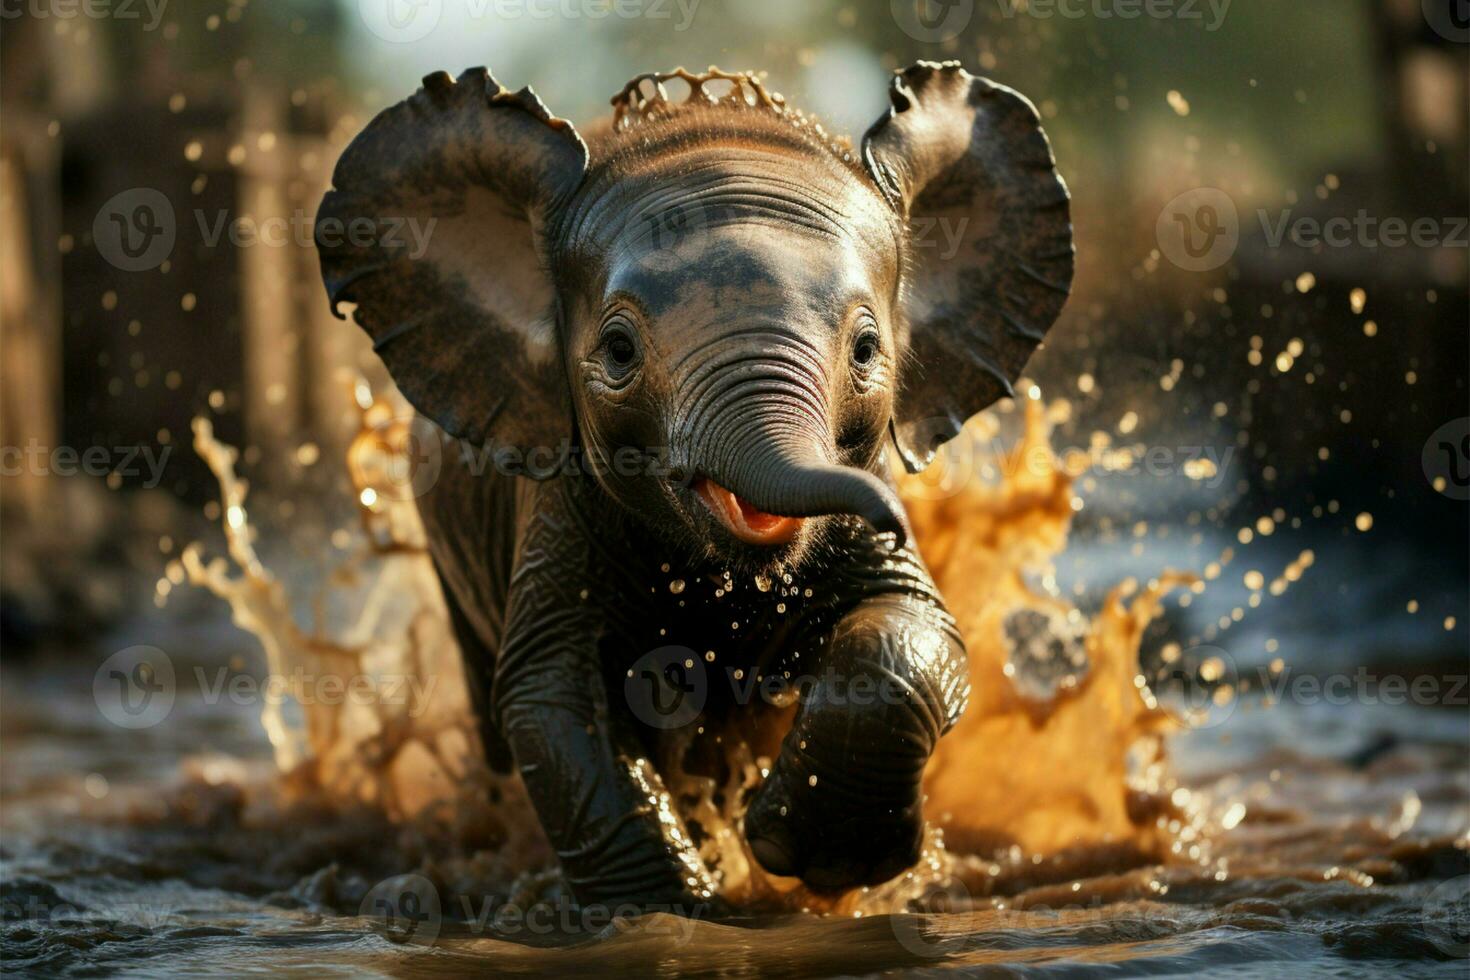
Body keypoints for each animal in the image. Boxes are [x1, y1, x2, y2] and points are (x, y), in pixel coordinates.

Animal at [316, 63, 1076, 910]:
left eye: (867, 350)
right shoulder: (559, 501)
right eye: (618, 351)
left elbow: (912, 627)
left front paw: (812, 857)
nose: (896, 518)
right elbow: (549, 691)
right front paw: (676, 907)